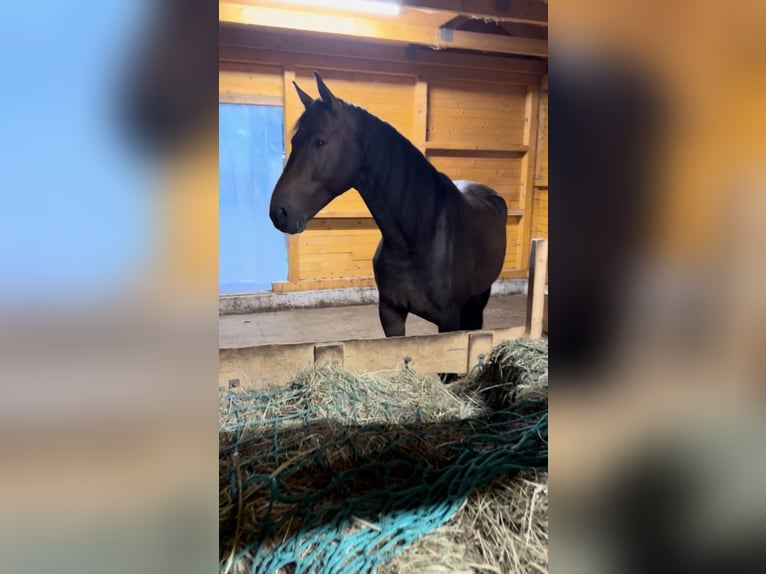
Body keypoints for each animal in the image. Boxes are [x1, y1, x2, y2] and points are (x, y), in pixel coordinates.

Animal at [270, 72, 507, 337]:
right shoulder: (391, 313)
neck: (415, 238)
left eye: (320, 141)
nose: (279, 212)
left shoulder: (448, 321)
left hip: (478, 300)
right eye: (294, 141)